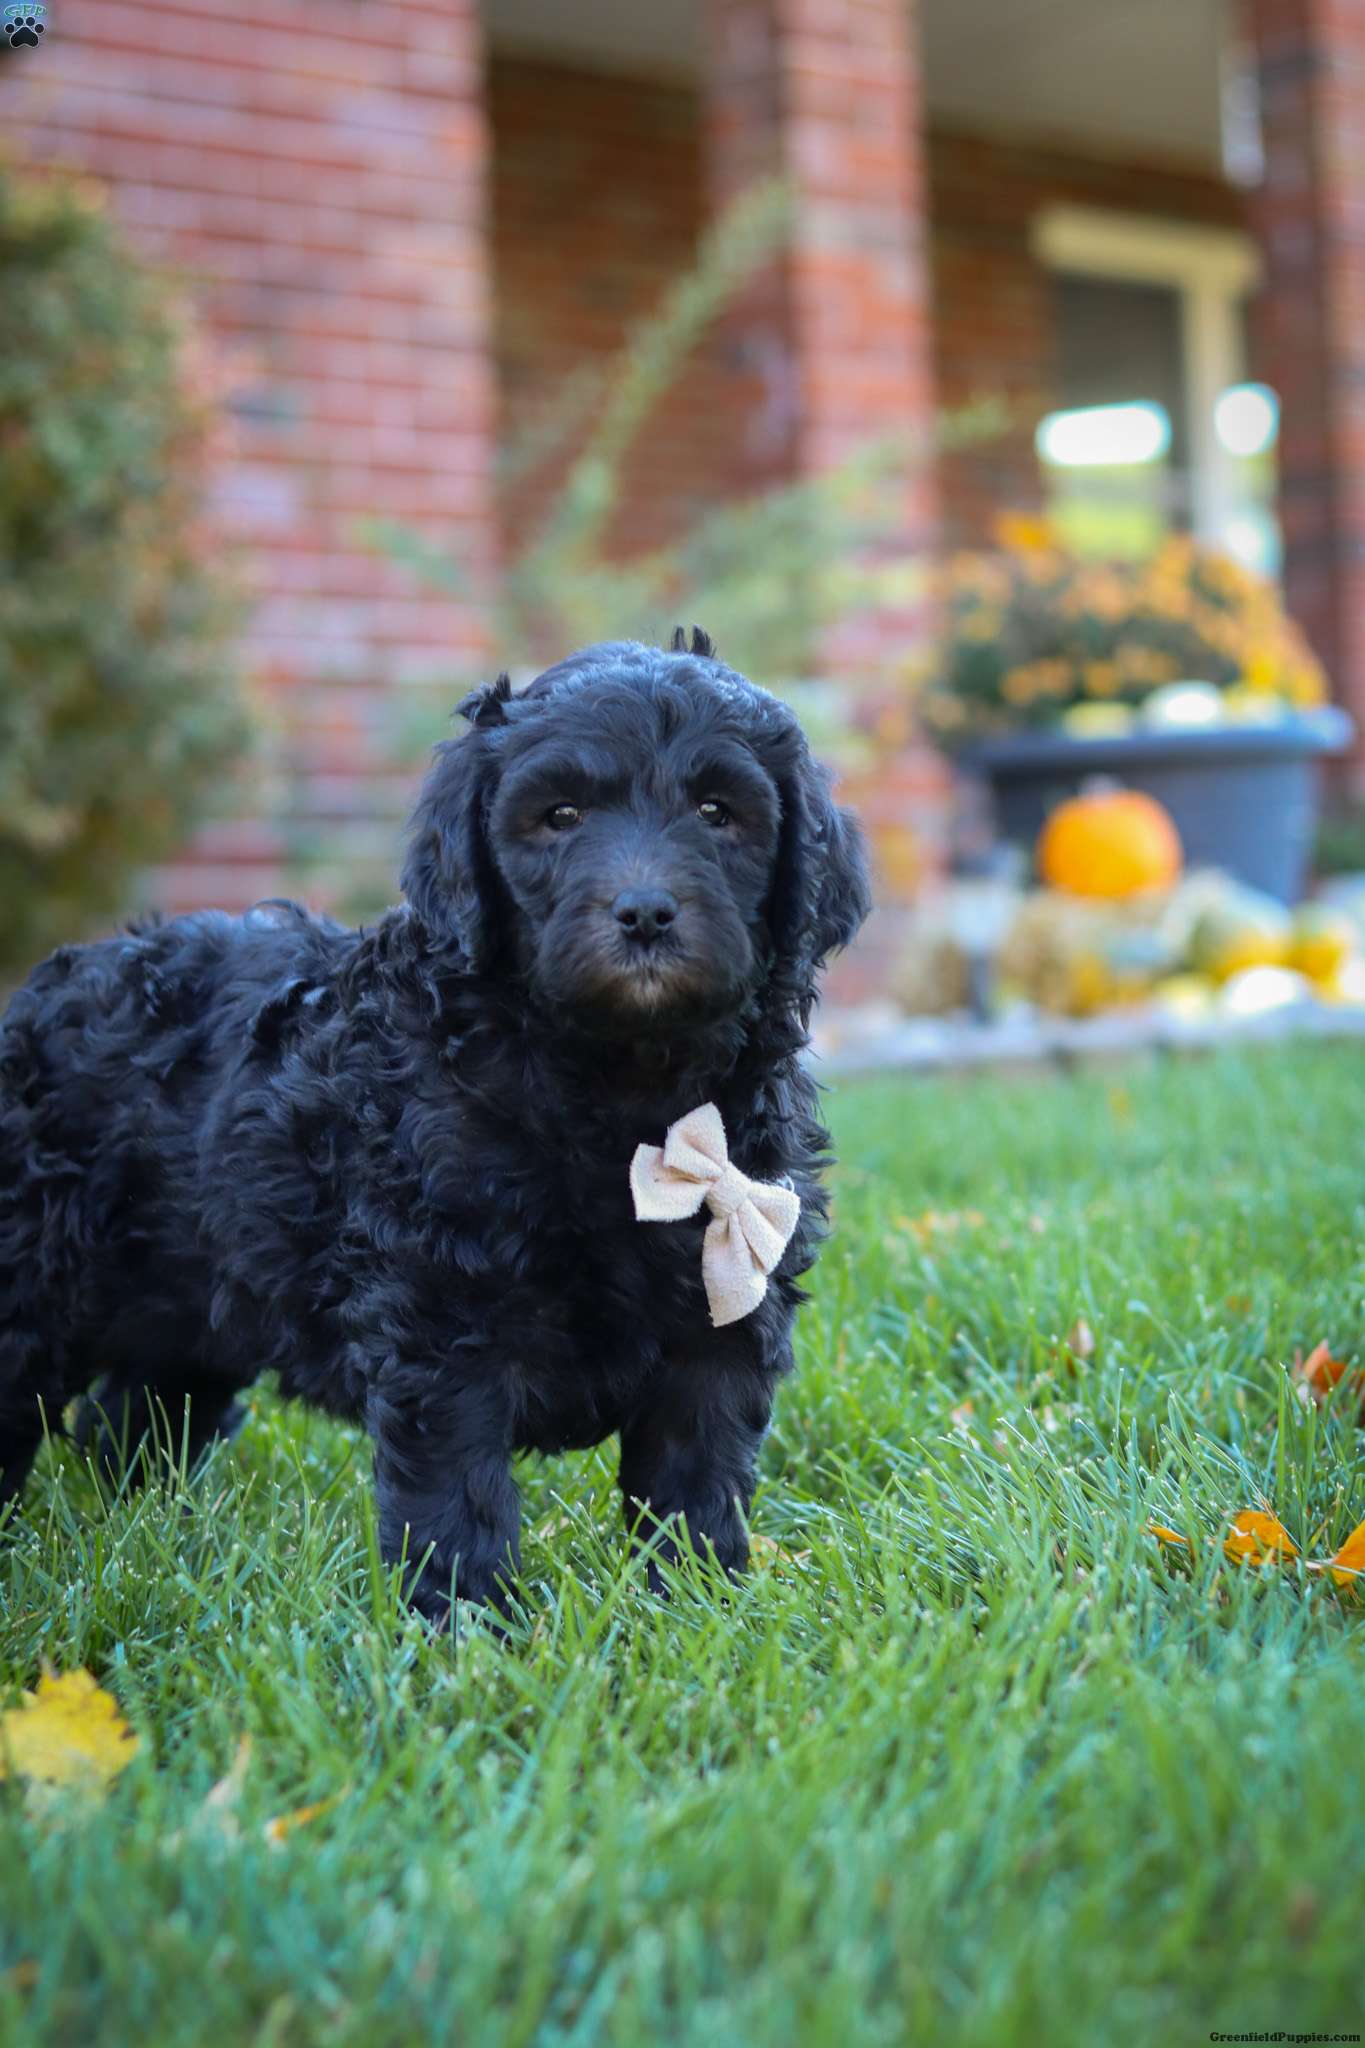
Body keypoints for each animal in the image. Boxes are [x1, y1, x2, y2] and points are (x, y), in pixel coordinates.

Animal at [0, 631, 870, 1620]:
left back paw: (158, 1536)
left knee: (143, 1411)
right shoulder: (443, 1311)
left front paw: (695, 1608)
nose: (645, 912)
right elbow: (456, 1488)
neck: (617, 1092)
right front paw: (464, 1626)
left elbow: (695, 1477)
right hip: (34, 1276)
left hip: (190, 1290)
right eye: (560, 816)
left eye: (718, 813)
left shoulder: (723, 1316)